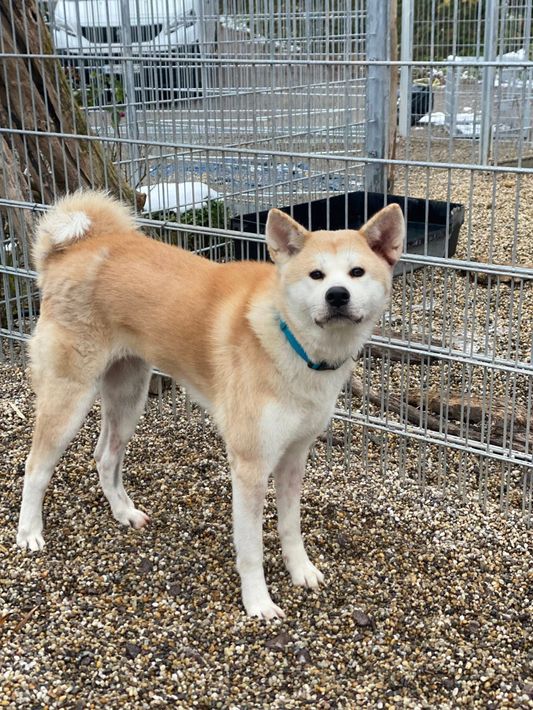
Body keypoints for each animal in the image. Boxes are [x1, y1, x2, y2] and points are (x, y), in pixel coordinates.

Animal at [17, 191, 404, 618]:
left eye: (356, 272)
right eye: (316, 276)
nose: (337, 295)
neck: (292, 342)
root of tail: (70, 251)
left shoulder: (294, 456)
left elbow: (290, 526)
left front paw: (300, 570)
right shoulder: (250, 465)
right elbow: (251, 548)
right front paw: (258, 602)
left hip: (129, 394)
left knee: (104, 457)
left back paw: (124, 513)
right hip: (69, 397)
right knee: (35, 467)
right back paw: (29, 533)